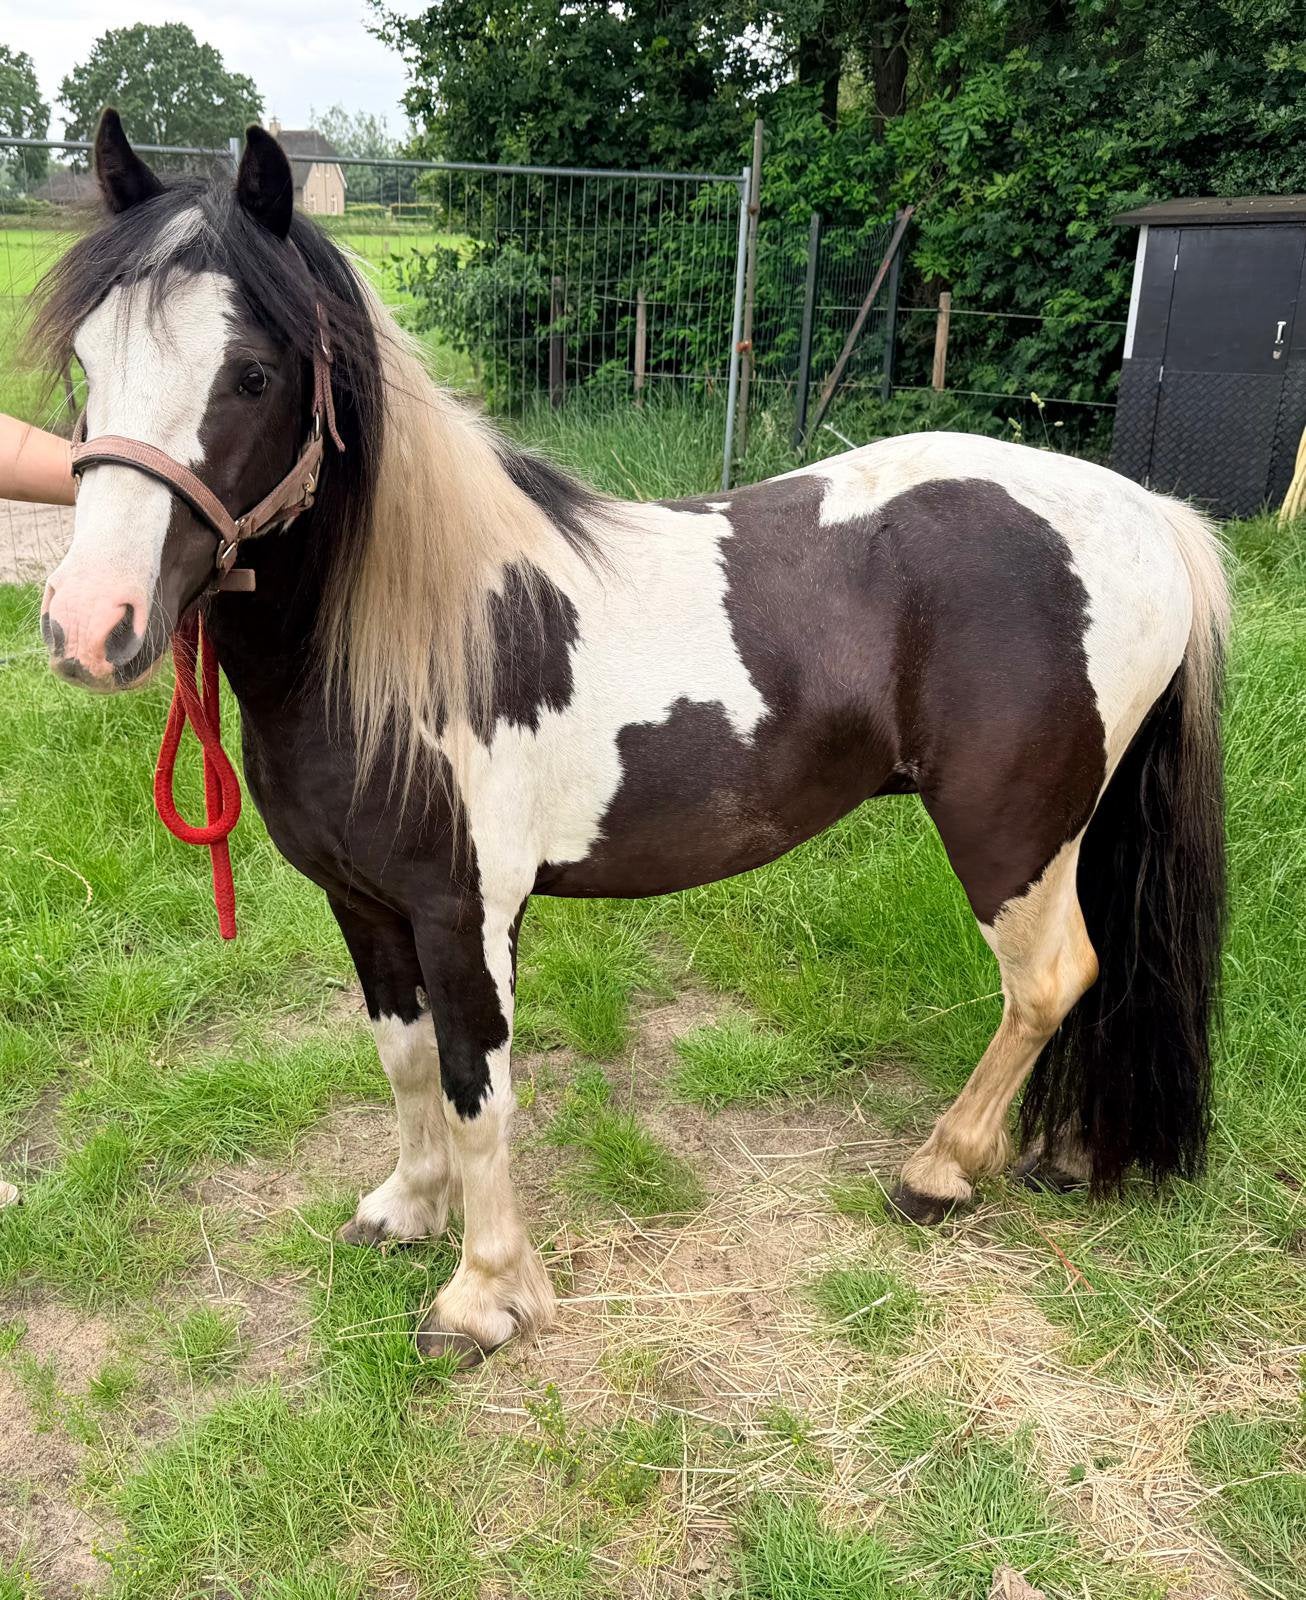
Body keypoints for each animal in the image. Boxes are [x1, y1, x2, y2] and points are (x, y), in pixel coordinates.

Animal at [34, 113, 1228, 1366]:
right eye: (88, 363)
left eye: (254, 374)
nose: (90, 625)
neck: (416, 637)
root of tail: (1147, 515)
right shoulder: (361, 901)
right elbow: (405, 1060)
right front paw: (406, 1209)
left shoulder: (467, 913)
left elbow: (475, 1086)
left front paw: (481, 1296)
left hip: (1013, 836)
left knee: (1048, 981)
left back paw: (939, 1170)